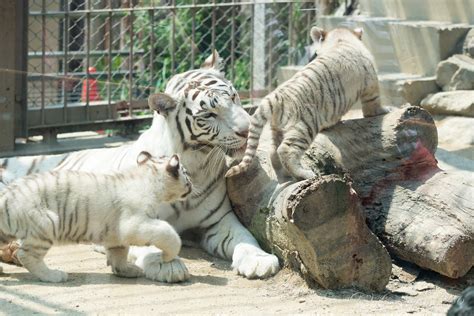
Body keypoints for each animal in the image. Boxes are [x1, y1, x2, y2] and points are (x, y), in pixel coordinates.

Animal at [0, 50, 280, 282]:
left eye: (233, 96)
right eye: (209, 115)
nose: (247, 129)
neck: (195, 164)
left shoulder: (218, 221)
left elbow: (245, 237)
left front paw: (259, 261)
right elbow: (148, 240)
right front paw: (167, 265)